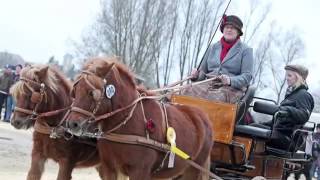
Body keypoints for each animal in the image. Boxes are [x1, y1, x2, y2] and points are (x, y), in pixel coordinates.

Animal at [66, 57, 214, 180]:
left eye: (92, 93)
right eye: (75, 91)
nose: (72, 124)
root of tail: (203, 116)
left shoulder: (139, 171)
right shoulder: (111, 168)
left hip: (194, 170)